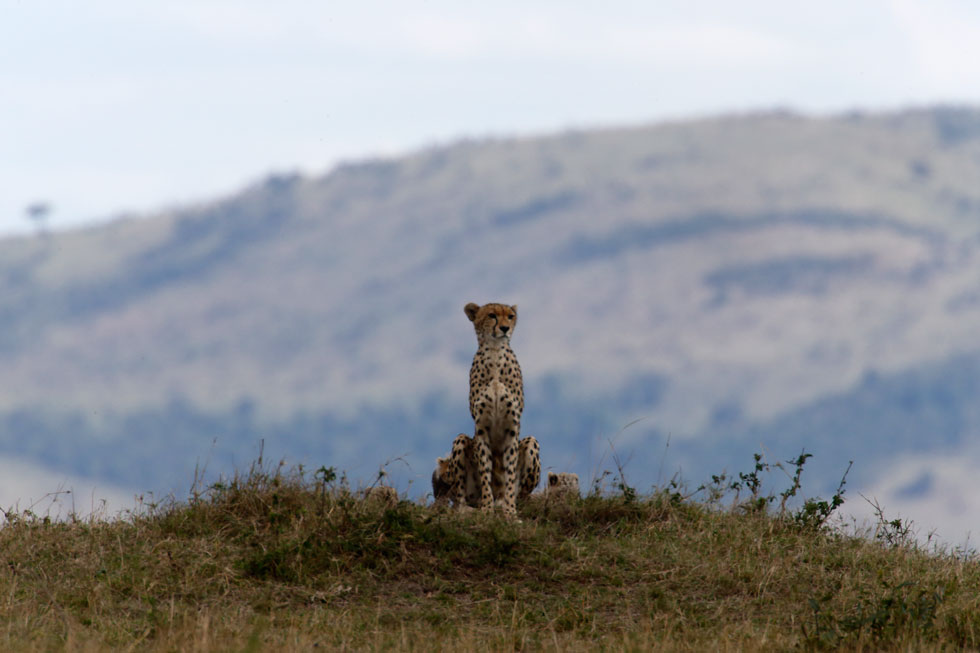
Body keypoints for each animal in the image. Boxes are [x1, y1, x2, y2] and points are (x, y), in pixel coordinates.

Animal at [464, 300, 524, 516]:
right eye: (492, 315)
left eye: (510, 316)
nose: (505, 328)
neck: (496, 352)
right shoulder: (481, 429)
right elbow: (485, 472)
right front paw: (487, 510)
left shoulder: (512, 429)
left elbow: (510, 474)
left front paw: (510, 512)